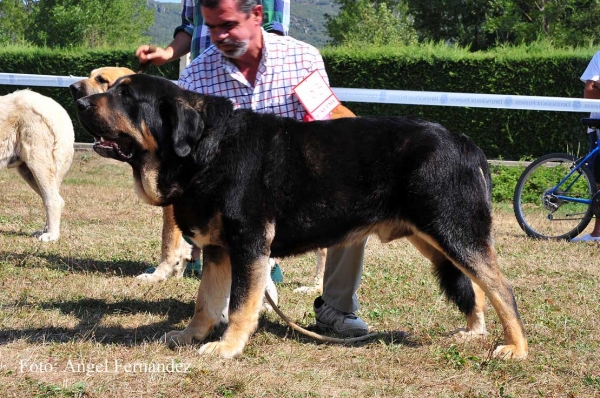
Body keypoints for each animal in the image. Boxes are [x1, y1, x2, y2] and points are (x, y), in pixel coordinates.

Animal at [0, 89, 74, 239]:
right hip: (28, 172)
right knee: (53, 198)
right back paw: (45, 231)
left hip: (38, 160)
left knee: (53, 199)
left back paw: (51, 235)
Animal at [72, 74, 528, 360]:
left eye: (126, 97)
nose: (78, 99)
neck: (208, 149)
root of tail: (466, 142)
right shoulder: (219, 250)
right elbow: (206, 303)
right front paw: (189, 336)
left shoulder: (249, 246)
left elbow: (241, 305)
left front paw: (227, 348)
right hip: (436, 239)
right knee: (475, 288)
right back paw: (473, 331)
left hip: (455, 233)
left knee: (501, 288)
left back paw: (515, 348)